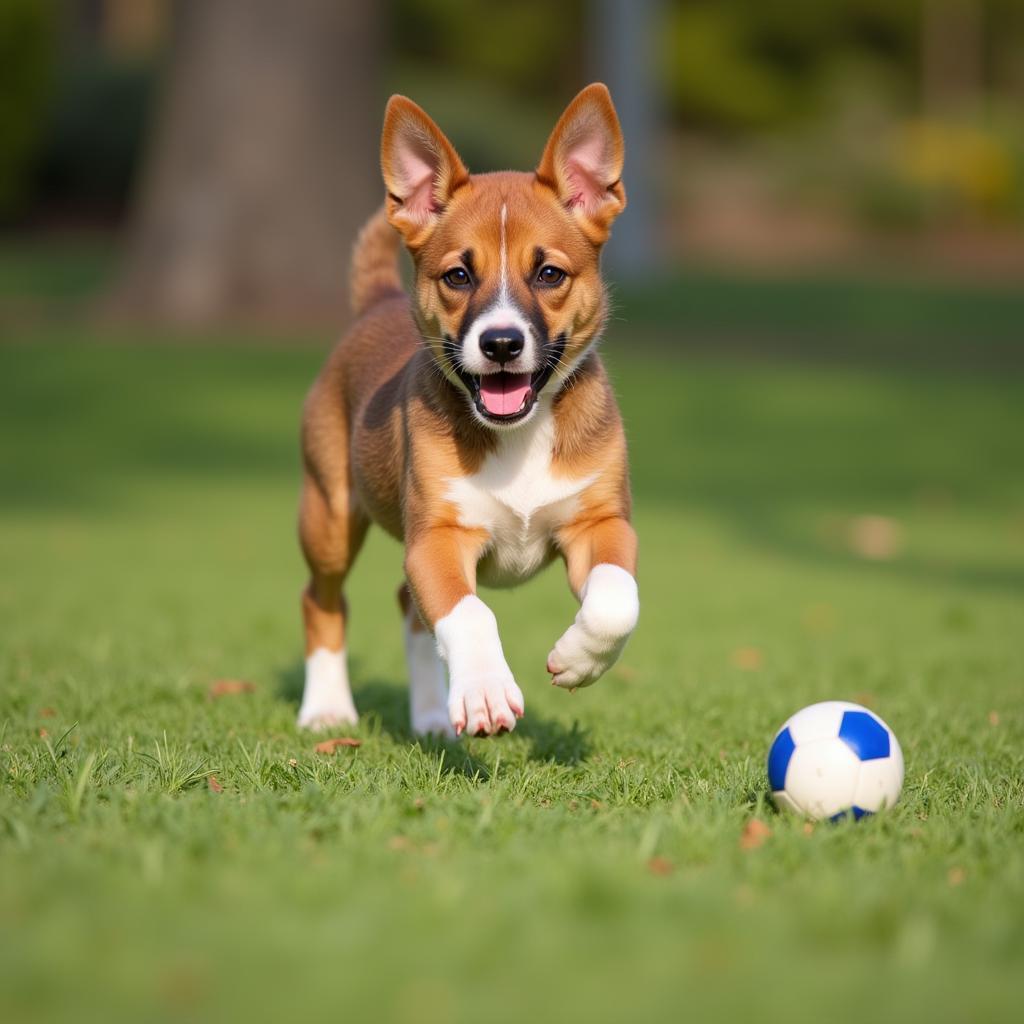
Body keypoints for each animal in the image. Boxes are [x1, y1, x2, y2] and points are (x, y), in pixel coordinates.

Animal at [292, 81, 634, 737]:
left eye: (548, 273)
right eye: (457, 275)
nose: (500, 343)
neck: (520, 435)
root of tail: (377, 303)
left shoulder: (601, 525)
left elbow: (615, 600)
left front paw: (578, 659)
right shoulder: (436, 540)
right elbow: (469, 614)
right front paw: (483, 691)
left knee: (407, 606)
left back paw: (428, 715)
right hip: (328, 515)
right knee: (322, 600)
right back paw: (326, 709)